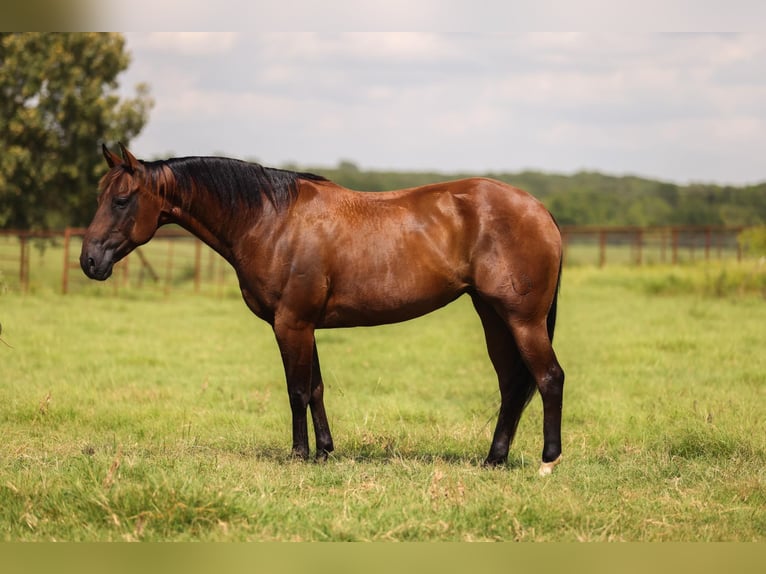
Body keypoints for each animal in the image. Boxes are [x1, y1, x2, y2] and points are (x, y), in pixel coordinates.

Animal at [81, 143, 565, 476]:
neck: (270, 220)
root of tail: (540, 211)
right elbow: (315, 388)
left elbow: (296, 390)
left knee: (548, 378)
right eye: (100, 197)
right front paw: (325, 451)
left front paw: (298, 454)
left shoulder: (290, 324)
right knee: (512, 385)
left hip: (522, 320)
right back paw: (493, 459)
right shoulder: (305, 326)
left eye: (121, 200)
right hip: (493, 317)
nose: (89, 261)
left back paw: (547, 461)